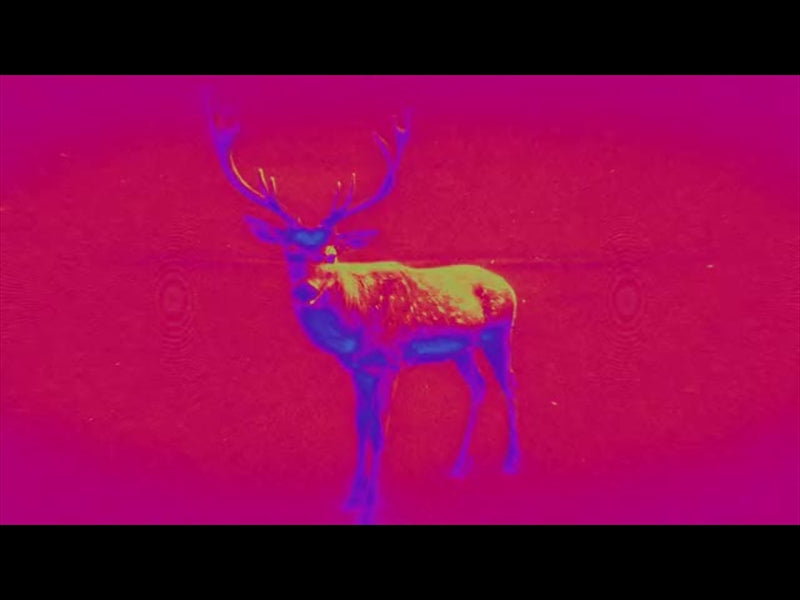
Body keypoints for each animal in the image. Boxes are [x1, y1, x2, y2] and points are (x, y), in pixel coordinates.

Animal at [209, 108, 521, 524]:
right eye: (289, 250)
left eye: (331, 253)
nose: (305, 289)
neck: (356, 329)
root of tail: (508, 284)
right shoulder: (358, 368)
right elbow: (361, 427)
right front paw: (350, 499)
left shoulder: (391, 361)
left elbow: (381, 430)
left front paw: (373, 505)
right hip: (462, 348)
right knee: (479, 386)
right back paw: (457, 467)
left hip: (499, 332)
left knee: (508, 383)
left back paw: (511, 463)